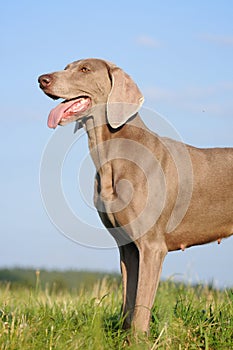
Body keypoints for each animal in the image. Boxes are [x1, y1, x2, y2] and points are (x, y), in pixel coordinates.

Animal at [38, 58, 233, 334]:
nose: (42, 79)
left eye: (85, 69)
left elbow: (141, 304)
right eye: (66, 67)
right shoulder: (127, 246)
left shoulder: (152, 246)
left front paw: (140, 338)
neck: (111, 154)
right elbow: (128, 299)